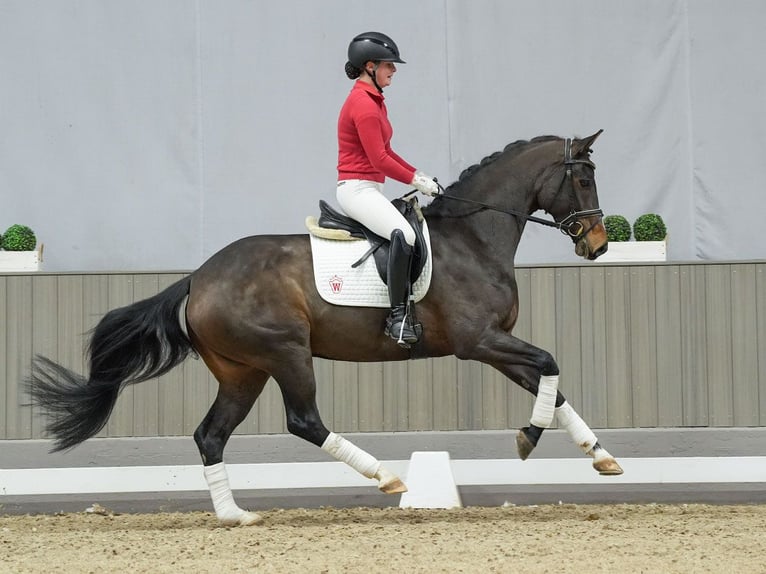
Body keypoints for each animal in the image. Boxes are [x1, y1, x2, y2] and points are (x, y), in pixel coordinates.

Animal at [28, 129, 624, 528]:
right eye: (583, 178)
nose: (598, 246)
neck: (473, 239)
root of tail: (198, 278)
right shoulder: (478, 342)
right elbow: (549, 363)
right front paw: (528, 438)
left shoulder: (496, 344)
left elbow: (552, 383)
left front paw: (599, 455)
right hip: (286, 353)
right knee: (304, 421)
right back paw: (386, 476)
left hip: (242, 372)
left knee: (210, 435)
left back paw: (236, 516)